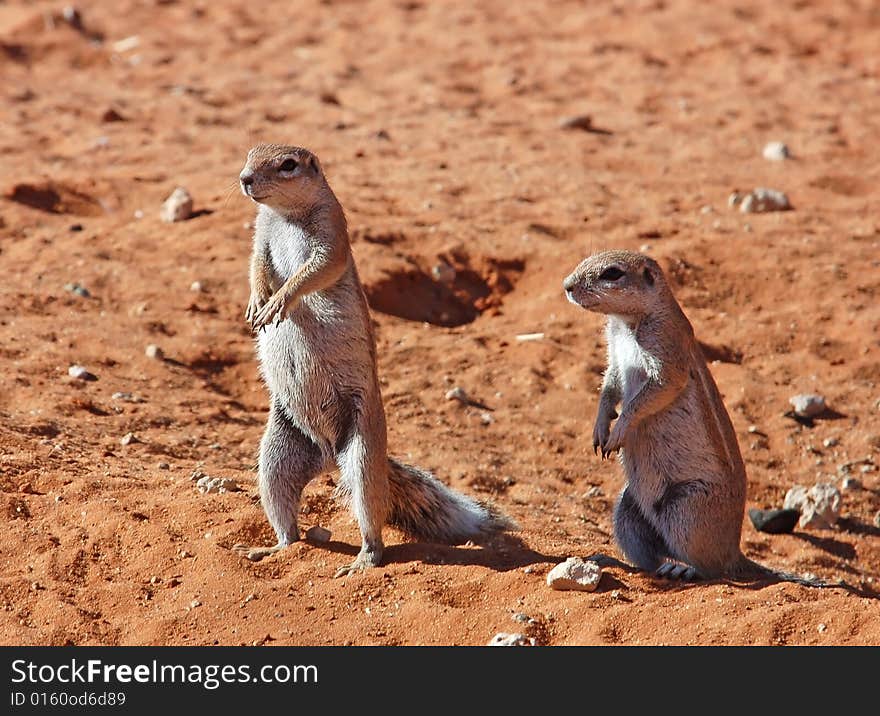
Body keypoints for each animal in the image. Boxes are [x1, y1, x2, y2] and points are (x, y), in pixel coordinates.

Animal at [230, 144, 512, 576]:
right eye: (250, 153)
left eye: (288, 165)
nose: (245, 179)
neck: (284, 215)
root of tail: (330, 457)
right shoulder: (260, 236)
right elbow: (256, 266)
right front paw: (256, 301)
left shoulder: (332, 236)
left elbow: (313, 273)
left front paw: (279, 300)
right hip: (276, 455)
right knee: (287, 521)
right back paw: (272, 548)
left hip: (361, 452)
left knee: (371, 521)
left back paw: (362, 560)